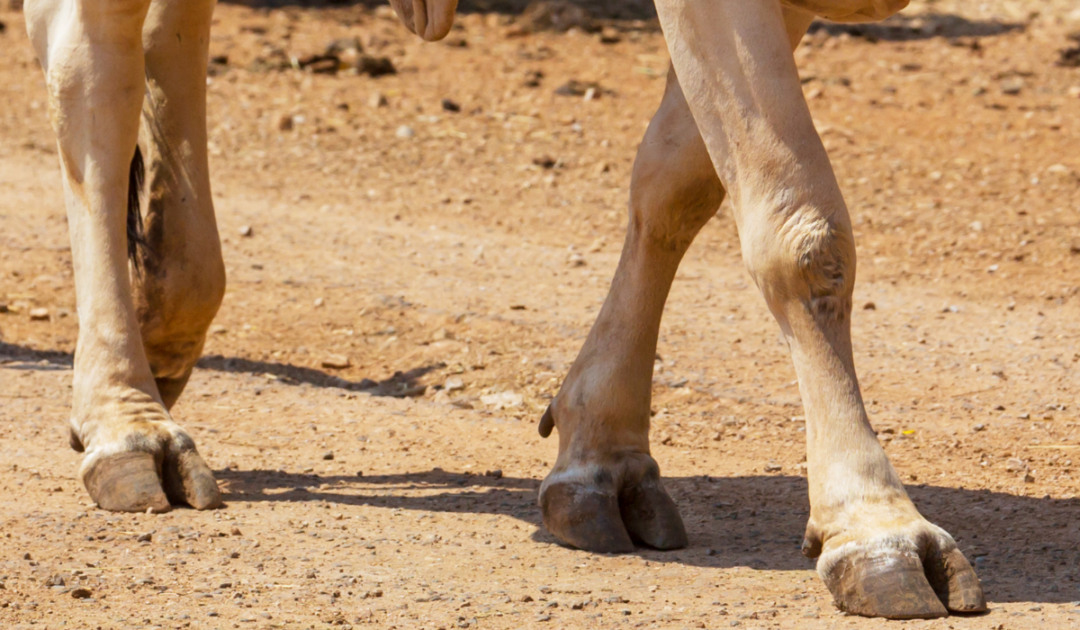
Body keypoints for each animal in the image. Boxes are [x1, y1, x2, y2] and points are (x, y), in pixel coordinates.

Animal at [23, 0, 985, 619]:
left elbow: (680, 179)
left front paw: (601, 452)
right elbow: (800, 232)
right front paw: (876, 525)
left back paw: (166, 318)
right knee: (91, 77)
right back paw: (126, 419)